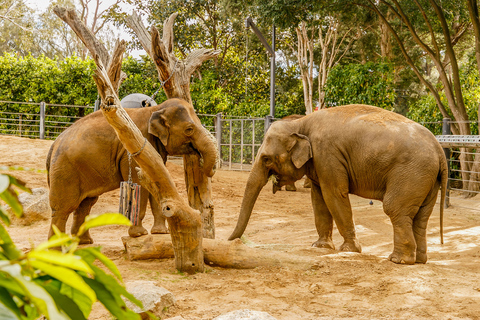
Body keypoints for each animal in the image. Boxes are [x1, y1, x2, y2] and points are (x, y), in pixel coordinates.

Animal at [46, 97, 217, 242]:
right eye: (189, 129)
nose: (201, 161)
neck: (154, 110)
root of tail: (54, 144)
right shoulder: (134, 148)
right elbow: (139, 185)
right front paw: (139, 234)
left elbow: (155, 181)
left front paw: (161, 233)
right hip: (65, 171)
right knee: (63, 209)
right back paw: (56, 249)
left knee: (85, 204)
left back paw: (84, 242)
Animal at [231, 105, 448, 264]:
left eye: (266, 159)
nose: (233, 240)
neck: (300, 123)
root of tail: (439, 150)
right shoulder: (318, 163)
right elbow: (319, 200)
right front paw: (320, 246)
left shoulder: (327, 154)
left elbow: (334, 195)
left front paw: (350, 250)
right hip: (427, 179)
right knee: (421, 217)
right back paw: (419, 260)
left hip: (411, 173)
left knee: (395, 208)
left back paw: (398, 260)